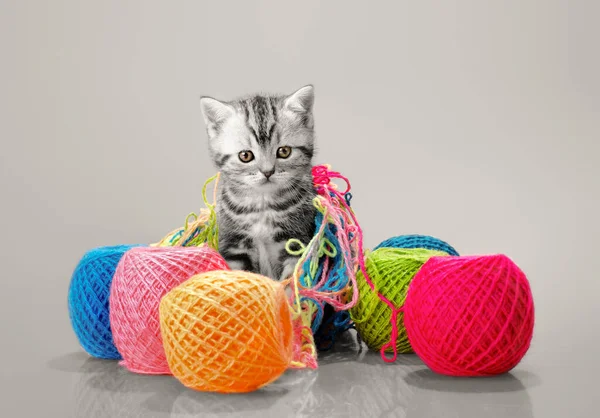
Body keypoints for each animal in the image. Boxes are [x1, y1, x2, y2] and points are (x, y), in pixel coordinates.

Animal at [199, 85, 316, 280]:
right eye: (245, 156)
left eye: (284, 151)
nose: (267, 172)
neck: (262, 206)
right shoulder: (235, 244)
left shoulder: (296, 239)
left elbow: (291, 277)